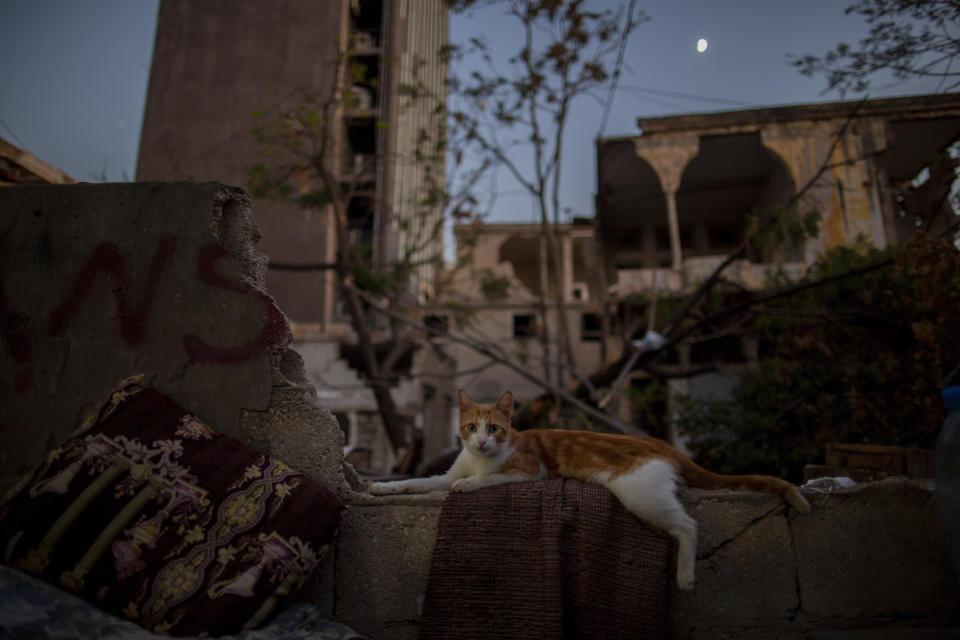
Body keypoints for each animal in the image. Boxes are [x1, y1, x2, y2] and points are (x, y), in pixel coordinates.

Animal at [368, 388, 808, 588]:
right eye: (471, 426)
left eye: (494, 428)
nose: (481, 442)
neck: (478, 458)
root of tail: (663, 444)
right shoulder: (440, 477)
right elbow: (416, 482)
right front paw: (381, 489)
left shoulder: (530, 472)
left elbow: (482, 479)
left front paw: (467, 486)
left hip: (640, 494)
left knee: (688, 526)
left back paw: (685, 576)